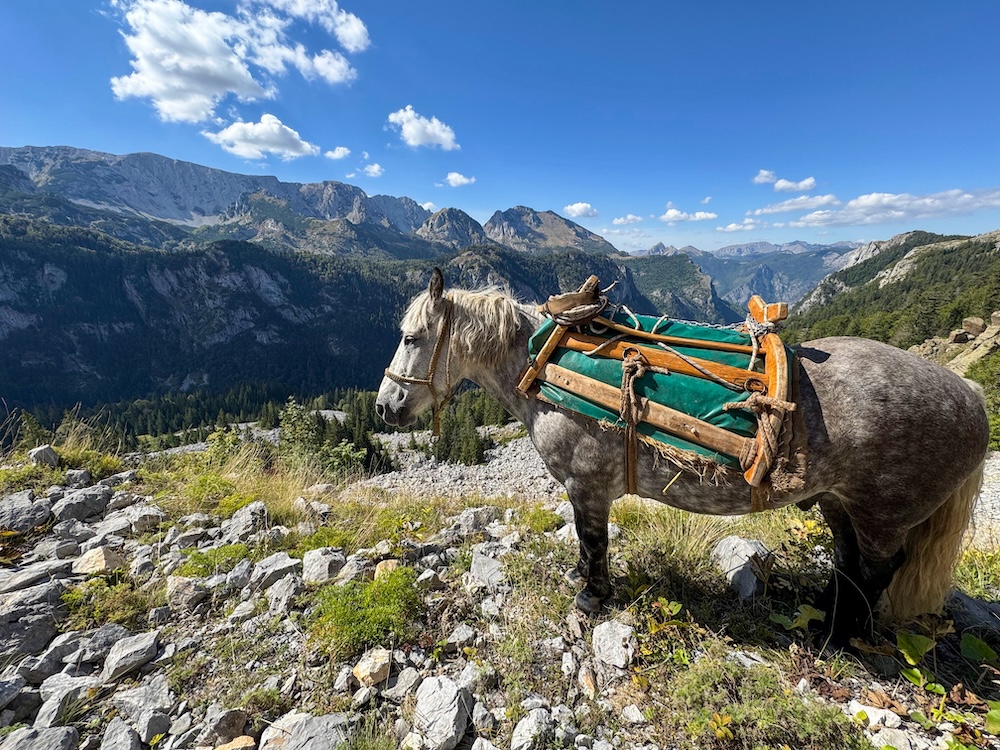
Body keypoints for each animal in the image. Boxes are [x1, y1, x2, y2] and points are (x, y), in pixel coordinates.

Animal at [376, 270, 992, 648]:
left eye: (411, 337)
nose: (384, 406)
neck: (542, 364)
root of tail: (971, 393)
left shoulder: (586, 485)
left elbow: (593, 543)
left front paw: (591, 597)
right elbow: (584, 544)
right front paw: (581, 579)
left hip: (882, 514)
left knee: (877, 569)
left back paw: (842, 637)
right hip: (839, 503)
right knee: (848, 561)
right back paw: (827, 612)